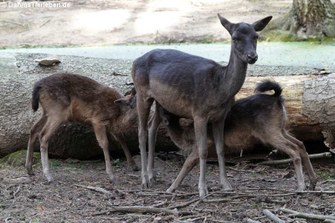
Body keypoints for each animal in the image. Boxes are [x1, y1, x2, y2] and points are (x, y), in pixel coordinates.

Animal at [131, 14, 272, 198]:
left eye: (256, 36)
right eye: (235, 38)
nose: (252, 56)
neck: (219, 89)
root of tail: (134, 62)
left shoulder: (220, 117)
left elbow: (220, 148)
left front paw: (226, 184)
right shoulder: (199, 113)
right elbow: (204, 150)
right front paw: (203, 190)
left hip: (160, 100)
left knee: (151, 128)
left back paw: (152, 176)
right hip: (142, 92)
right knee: (141, 131)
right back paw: (144, 180)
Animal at [156, 80, 318, 193]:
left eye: (162, 107)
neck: (186, 136)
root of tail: (277, 97)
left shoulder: (203, 144)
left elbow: (188, 163)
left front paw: (171, 188)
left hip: (269, 131)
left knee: (293, 149)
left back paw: (301, 186)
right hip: (280, 128)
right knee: (300, 144)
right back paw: (313, 182)